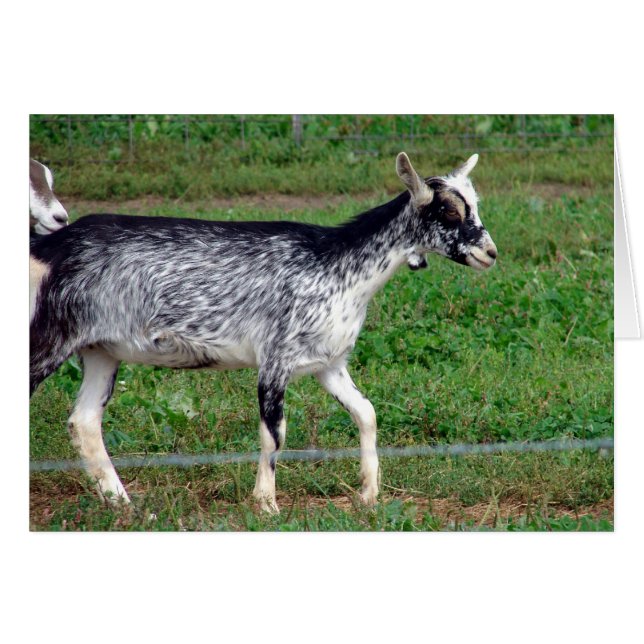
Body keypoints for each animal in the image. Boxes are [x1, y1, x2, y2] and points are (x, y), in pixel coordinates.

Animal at [30, 152, 497, 513]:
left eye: (474, 206)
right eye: (449, 211)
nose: (490, 253)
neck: (337, 265)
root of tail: (49, 250)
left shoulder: (328, 363)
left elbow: (366, 412)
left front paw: (369, 493)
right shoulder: (275, 358)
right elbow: (275, 433)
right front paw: (267, 504)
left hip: (101, 350)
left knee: (84, 422)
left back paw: (123, 504)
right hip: (50, 336)